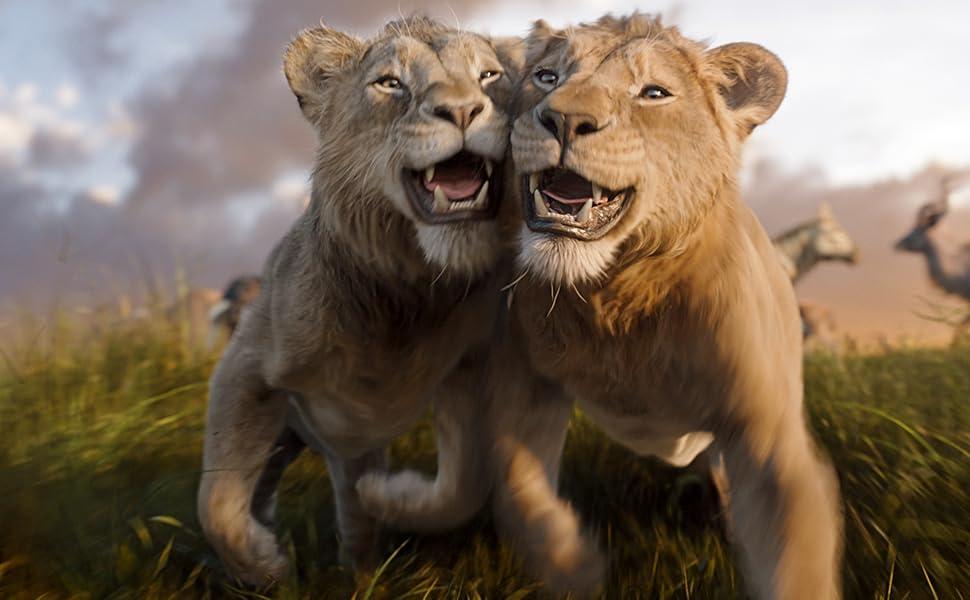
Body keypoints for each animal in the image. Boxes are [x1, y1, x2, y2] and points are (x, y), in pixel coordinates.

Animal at [196, 17, 521, 585]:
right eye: (391, 83)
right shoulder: (246, 365)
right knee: (256, 481)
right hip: (285, 432)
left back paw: (362, 573)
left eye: (489, 76)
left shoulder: (472, 367)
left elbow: (463, 484)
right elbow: (215, 500)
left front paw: (394, 498)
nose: (462, 111)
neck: (405, 293)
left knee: (355, 519)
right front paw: (262, 564)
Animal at [482, 14, 842, 599]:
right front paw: (574, 566)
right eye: (546, 76)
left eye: (653, 93)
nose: (564, 119)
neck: (614, 299)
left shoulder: (766, 434)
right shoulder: (524, 384)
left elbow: (797, 561)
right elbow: (515, 487)